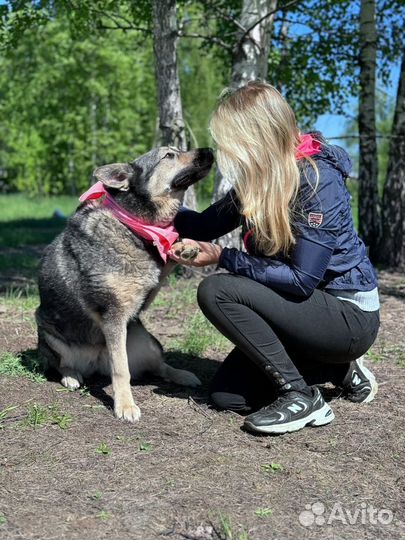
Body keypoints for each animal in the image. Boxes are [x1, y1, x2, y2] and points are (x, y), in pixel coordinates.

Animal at [36, 147, 213, 422]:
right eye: (169, 155)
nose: (210, 151)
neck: (132, 224)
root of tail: (97, 362)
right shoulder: (114, 314)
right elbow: (121, 369)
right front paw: (125, 405)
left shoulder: (143, 295)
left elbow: (165, 263)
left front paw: (183, 247)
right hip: (48, 331)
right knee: (64, 364)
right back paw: (71, 376)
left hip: (144, 341)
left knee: (159, 365)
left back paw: (182, 375)